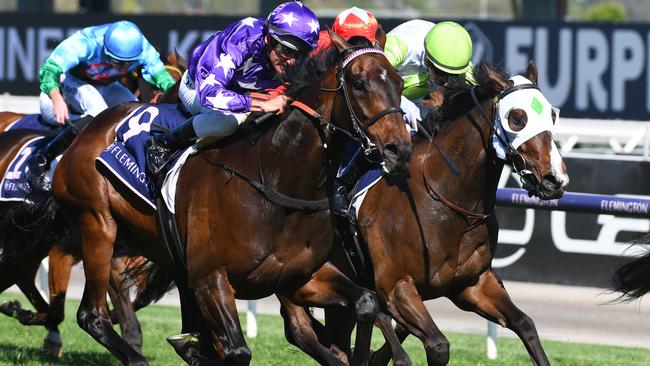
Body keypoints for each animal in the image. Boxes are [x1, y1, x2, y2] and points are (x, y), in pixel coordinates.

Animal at [52, 32, 410, 366]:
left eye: (400, 82)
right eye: (359, 83)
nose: (400, 149)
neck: (277, 179)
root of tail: (87, 129)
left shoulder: (299, 278)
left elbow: (366, 302)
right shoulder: (211, 278)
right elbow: (238, 350)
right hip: (97, 225)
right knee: (92, 315)